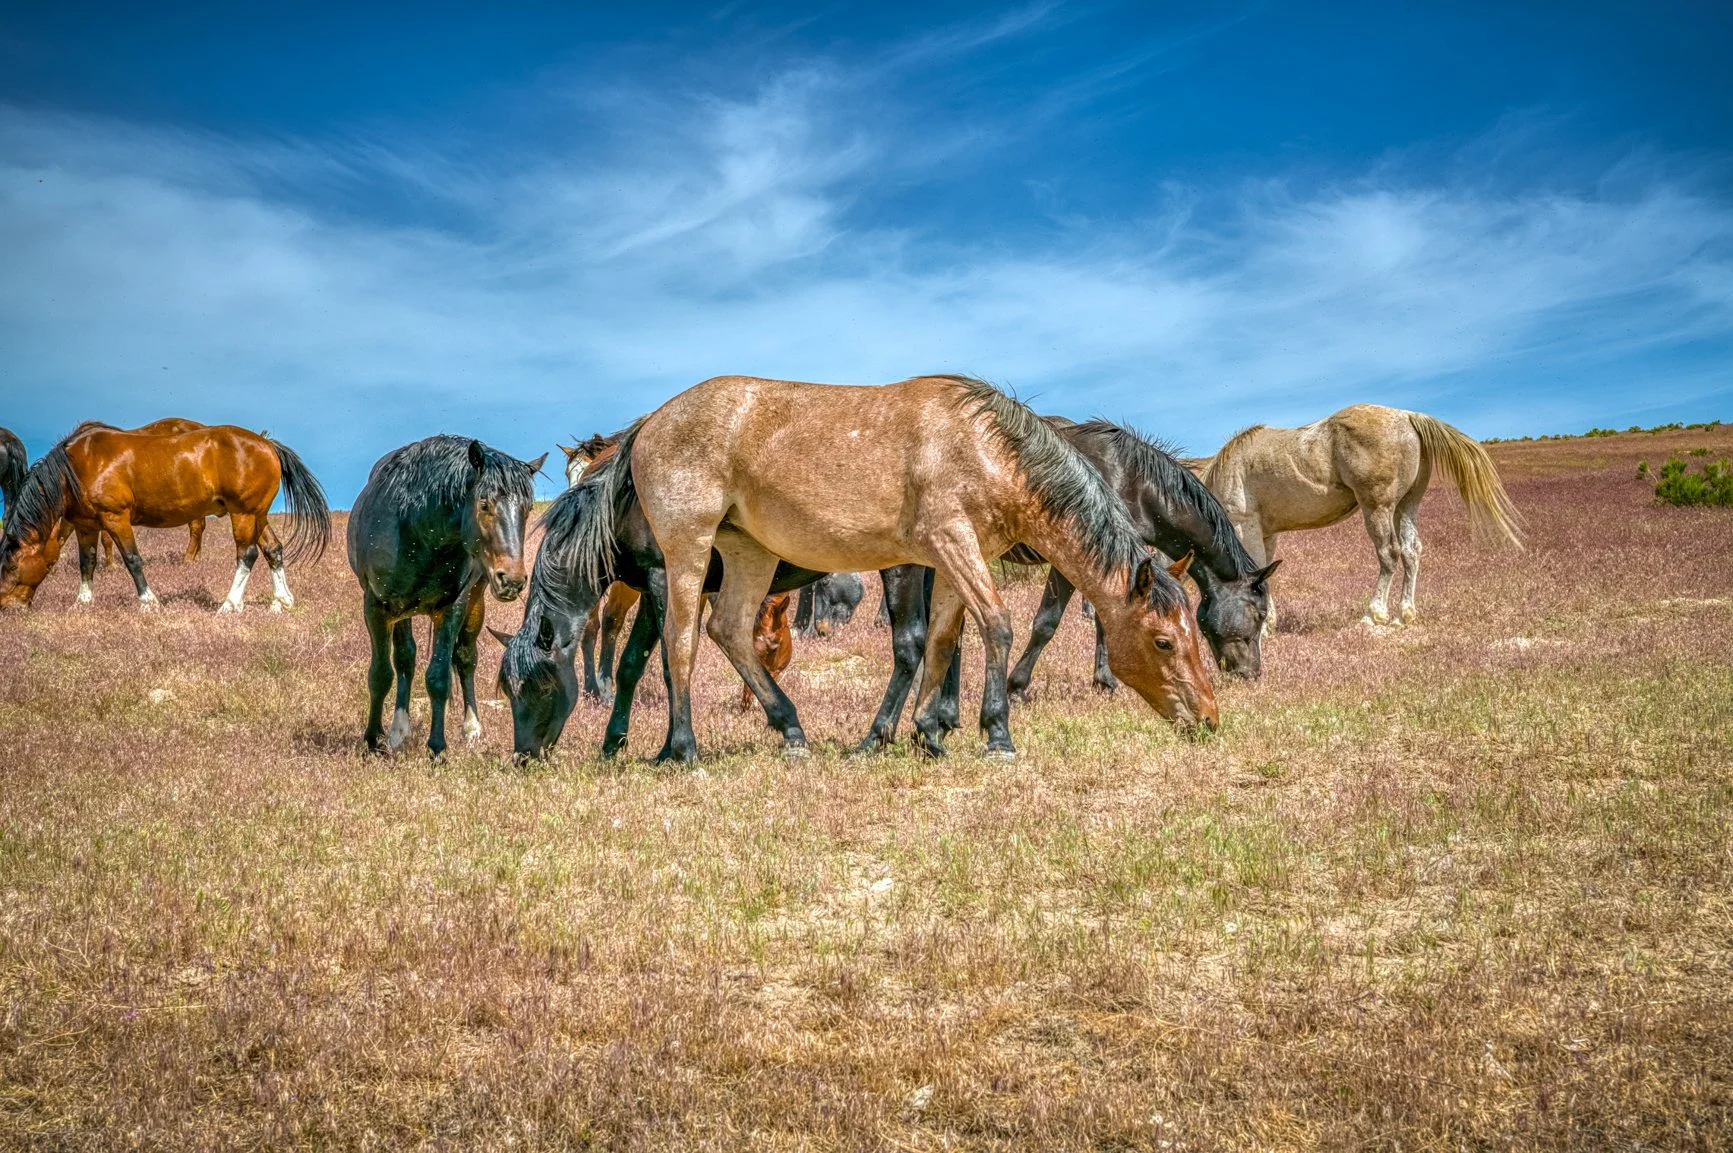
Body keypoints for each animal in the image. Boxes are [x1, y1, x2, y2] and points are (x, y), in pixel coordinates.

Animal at [0, 423, 328, 612]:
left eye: (11, 566)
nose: (6, 605)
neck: (79, 465)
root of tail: (268, 444)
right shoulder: (85, 525)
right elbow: (87, 562)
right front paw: (82, 602)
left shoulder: (116, 518)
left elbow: (133, 560)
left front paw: (148, 602)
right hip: (257, 515)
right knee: (273, 549)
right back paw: (282, 600)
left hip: (243, 514)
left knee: (246, 555)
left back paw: (230, 604)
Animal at [347, 436, 545, 756]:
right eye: (484, 504)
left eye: (527, 509)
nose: (512, 580)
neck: (418, 530)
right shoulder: (377, 607)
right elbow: (380, 674)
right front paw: (374, 740)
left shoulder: (451, 607)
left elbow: (439, 678)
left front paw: (437, 747)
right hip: (400, 612)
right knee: (405, 659)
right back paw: (398, 730)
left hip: (475, 600)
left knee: (464, 657)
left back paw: (471, 727)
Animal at [518, 374, 1217, 764]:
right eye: (1163, 640)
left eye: (1196, 633)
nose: (1210, 719)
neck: (986, 446)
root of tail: (647, 425)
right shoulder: (952, 543)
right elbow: (996, 627)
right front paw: (995, 734)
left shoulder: (949, 558)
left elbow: (940, 641)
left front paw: (929, 733)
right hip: (685, 553)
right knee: (681, 642)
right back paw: (681, 748)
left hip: (748, 553)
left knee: (730, 630)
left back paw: (791, 732)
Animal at [1199, 404, 1521, 627]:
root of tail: (1407, 417)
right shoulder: (1268, 534)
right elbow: (1265, 570)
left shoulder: (1246, 526)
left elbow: (1254, 570)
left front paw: (1264, 625)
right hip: (1406, 507)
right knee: (1411, 551)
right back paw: (1405, 614)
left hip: (1377, 509)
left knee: (1389, 554)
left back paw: (1373, 614)